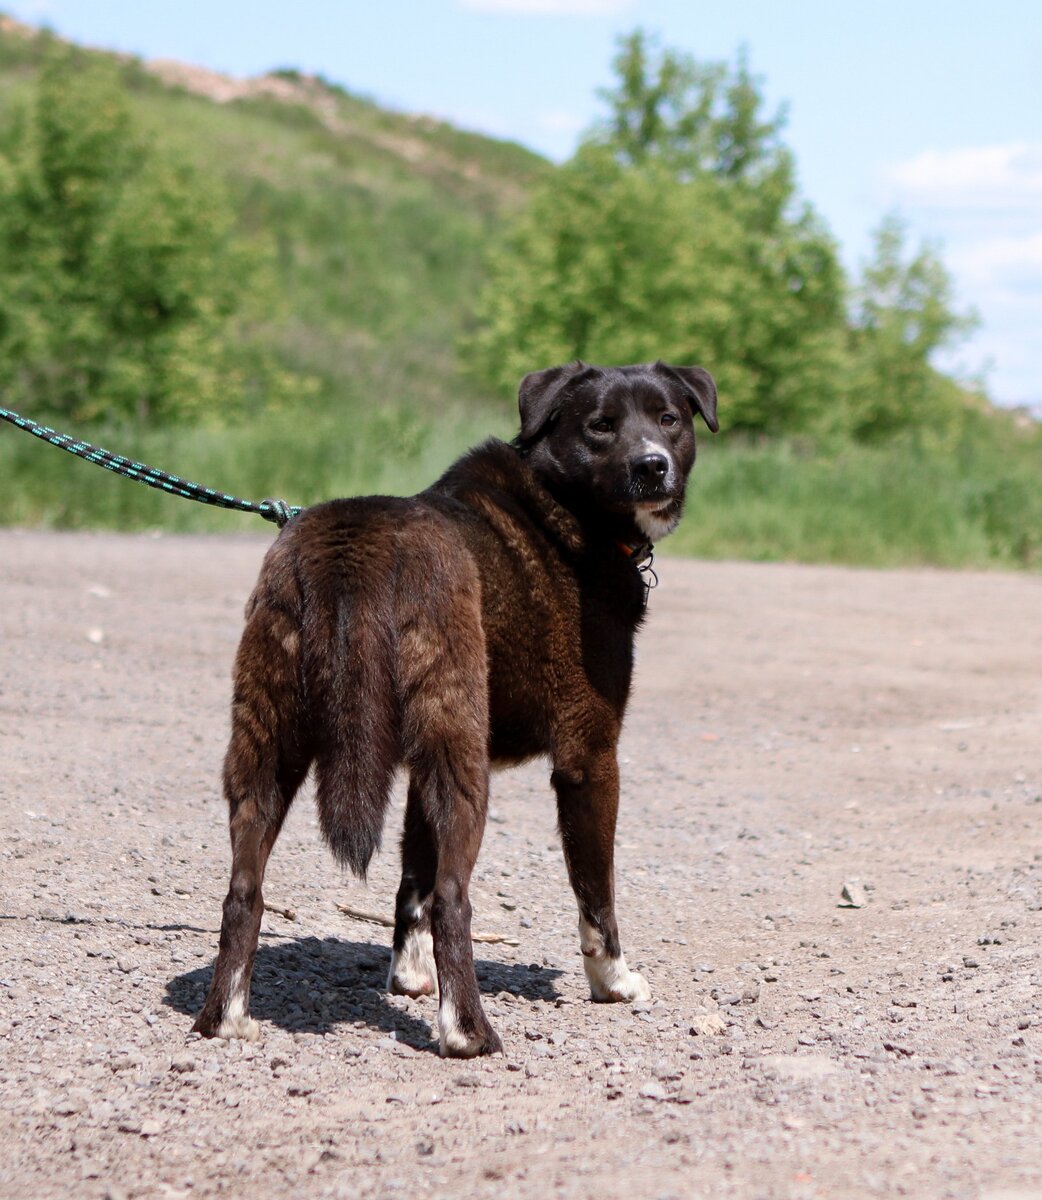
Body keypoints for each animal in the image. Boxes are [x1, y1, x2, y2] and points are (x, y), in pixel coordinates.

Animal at [193, 360, 715, 1056]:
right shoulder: (588, 755)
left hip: (269, 748)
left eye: (669, 418)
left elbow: (411, 877)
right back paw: (468, 1033)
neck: (561, 508)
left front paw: (411, 975)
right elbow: (594, 892)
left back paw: (225, 1018)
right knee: (454, 897)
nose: (652, 465)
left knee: (243, 889)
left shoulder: (418, 766)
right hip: (461, 765)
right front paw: (614, 981)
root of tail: (354, 544)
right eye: (601, 426)